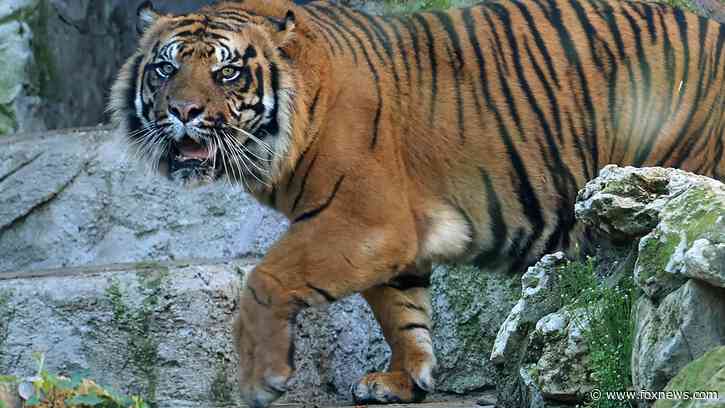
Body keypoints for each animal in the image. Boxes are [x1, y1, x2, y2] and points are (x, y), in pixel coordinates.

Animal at [109, 0, 725, 406]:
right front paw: (405, 379)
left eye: (228, 71)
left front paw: (261, 379)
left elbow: (265, 279)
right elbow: (399, 311)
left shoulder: (364, 219)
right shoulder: (393, 235)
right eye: (166, 67)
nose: (182, 111)